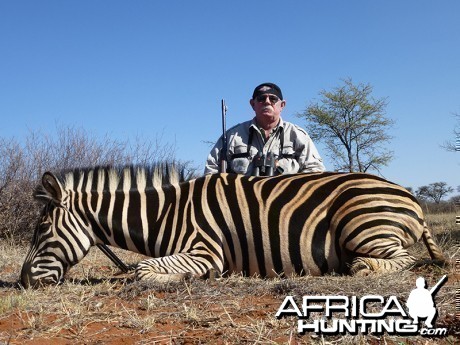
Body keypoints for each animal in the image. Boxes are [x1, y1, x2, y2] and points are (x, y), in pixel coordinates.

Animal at [20, 163, 446, 286]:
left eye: (42, 232)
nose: (23, 281)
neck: (166, 214)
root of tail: (411, 196)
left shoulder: (206, 251)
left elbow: (141, 270)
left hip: (360, 223)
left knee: (406, 259)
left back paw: (359, 267)